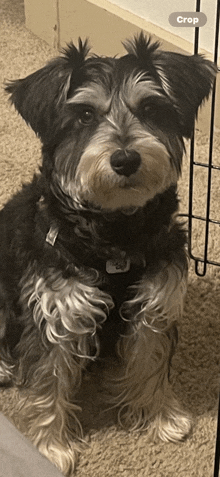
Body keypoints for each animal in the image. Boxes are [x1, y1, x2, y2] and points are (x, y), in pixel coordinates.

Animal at [0, 33, 217, 472]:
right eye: (84, 115)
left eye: (150, 108)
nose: (125, 159)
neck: (116, 231)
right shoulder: (59, 313)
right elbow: (49, 382)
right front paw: (49, 449)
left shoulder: (154, 302)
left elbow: (150, 362)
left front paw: (160, 416)